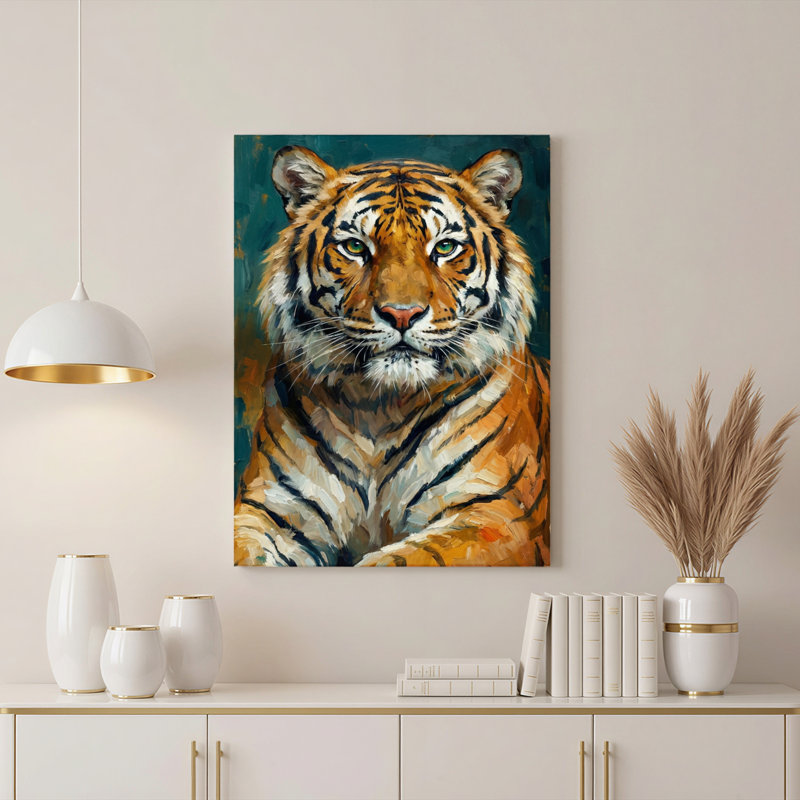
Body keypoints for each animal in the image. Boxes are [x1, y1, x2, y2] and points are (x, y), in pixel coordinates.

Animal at [234, 144, 549, 566]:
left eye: (445, 248)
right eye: (355, 247)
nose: (402, 313)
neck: (379, 406)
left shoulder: (498, 512)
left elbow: (402, 559)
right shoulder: (269, 509)